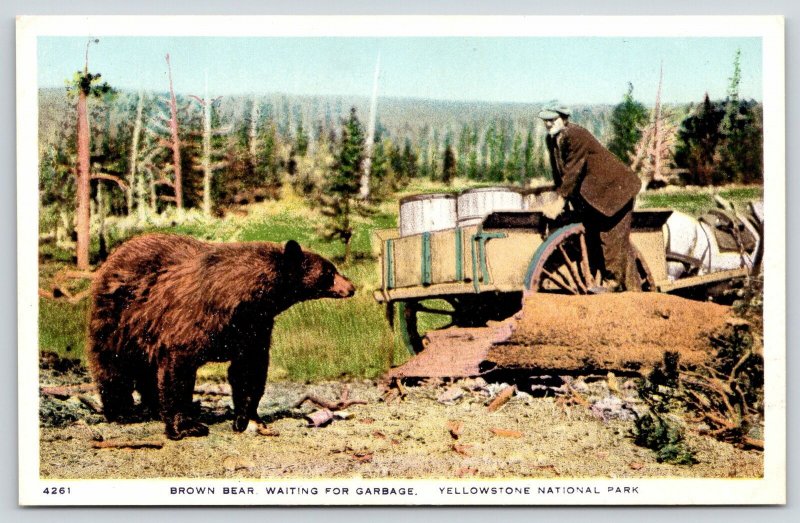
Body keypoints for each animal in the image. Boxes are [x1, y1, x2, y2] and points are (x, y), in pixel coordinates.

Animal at [85, 235, 356, 440]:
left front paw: (246, 418)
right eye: (330, 271)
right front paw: (185, 426)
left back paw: (152, 405)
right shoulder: (194, 319)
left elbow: (249, 370)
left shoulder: (254, 326)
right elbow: (178, 369)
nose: (351, 287)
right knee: (113, 365)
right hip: (120, 319)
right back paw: (121, 410)